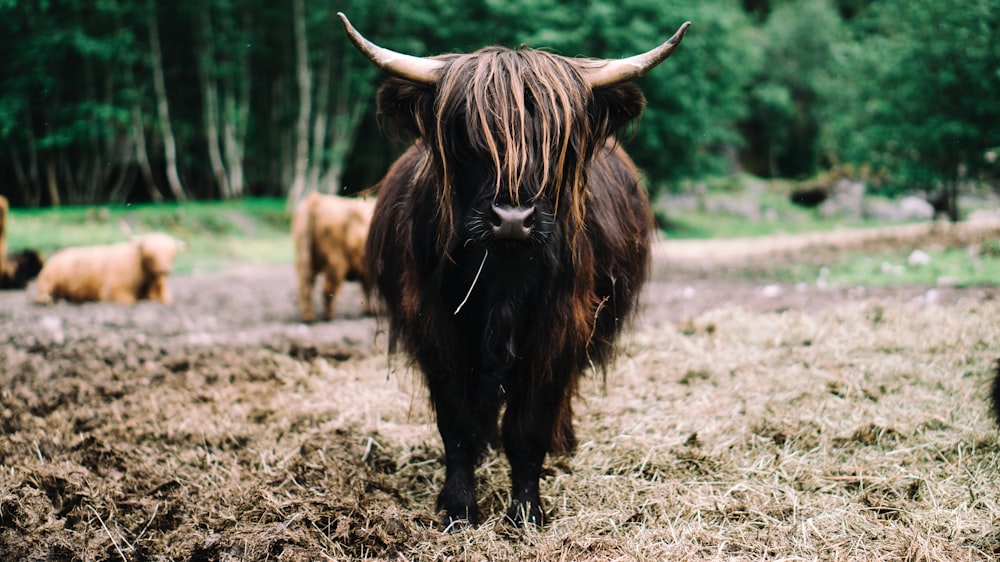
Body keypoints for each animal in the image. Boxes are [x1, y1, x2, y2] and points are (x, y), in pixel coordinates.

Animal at [33, 231, 186, 304]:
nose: (164, 269)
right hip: (49, 280)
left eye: (171, 253)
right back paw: (47, 300)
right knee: (42, 294)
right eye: (150, 254)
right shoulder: (113, 292)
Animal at [292, 191, 378, 320]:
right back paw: (329, 316)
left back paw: (308, 317)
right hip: (336, 263)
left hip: (306, 260)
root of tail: (315, 200)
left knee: (306, 286)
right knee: (327, 290)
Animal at [340, 15, 692, 528]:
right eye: (466, 134)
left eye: (558, 139)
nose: (511, 218)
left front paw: (526, 509)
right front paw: (459, 506)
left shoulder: (559, 327)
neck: (502, 277)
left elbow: (530, 423)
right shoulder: (437, 328)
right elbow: (458, 420)